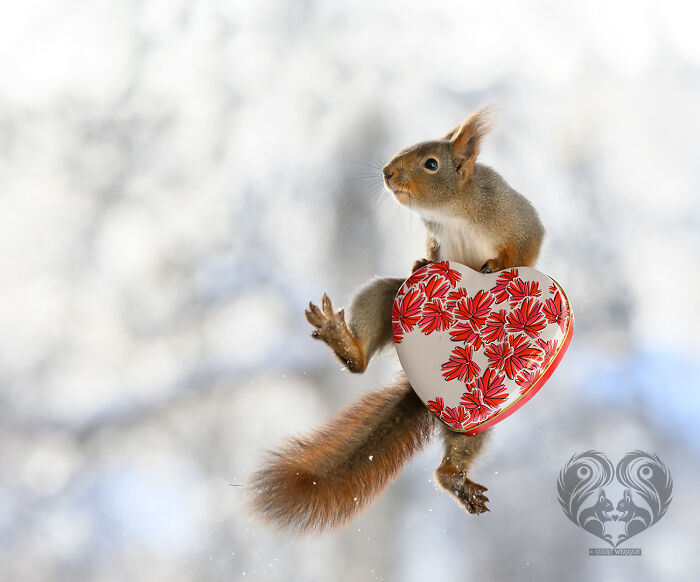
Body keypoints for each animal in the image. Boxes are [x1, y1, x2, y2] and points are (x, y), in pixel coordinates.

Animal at [247, 106, 545, 533]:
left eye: (431, 164)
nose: (387, 173)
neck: (452, 211)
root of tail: (423, 393)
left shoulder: (514, 216)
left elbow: (526, 247)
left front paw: (498, 269)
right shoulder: (435, 236)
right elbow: (431, 253)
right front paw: (421, 263)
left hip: (481, 406)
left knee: (457, 453)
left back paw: (457, 480)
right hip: (387, 302)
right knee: (363, 352)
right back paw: (345, 343)